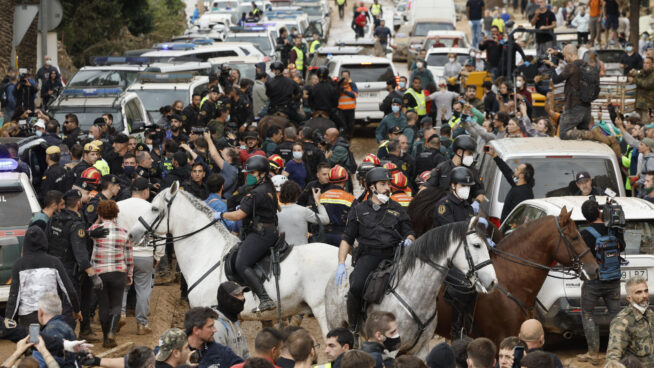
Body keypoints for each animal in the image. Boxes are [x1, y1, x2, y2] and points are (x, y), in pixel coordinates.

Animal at [326, 217, 500, 358]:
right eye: (477, 245)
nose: (493, 282)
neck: (414, 296)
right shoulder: (390, 350)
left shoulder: (421, 350)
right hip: (336, 327)